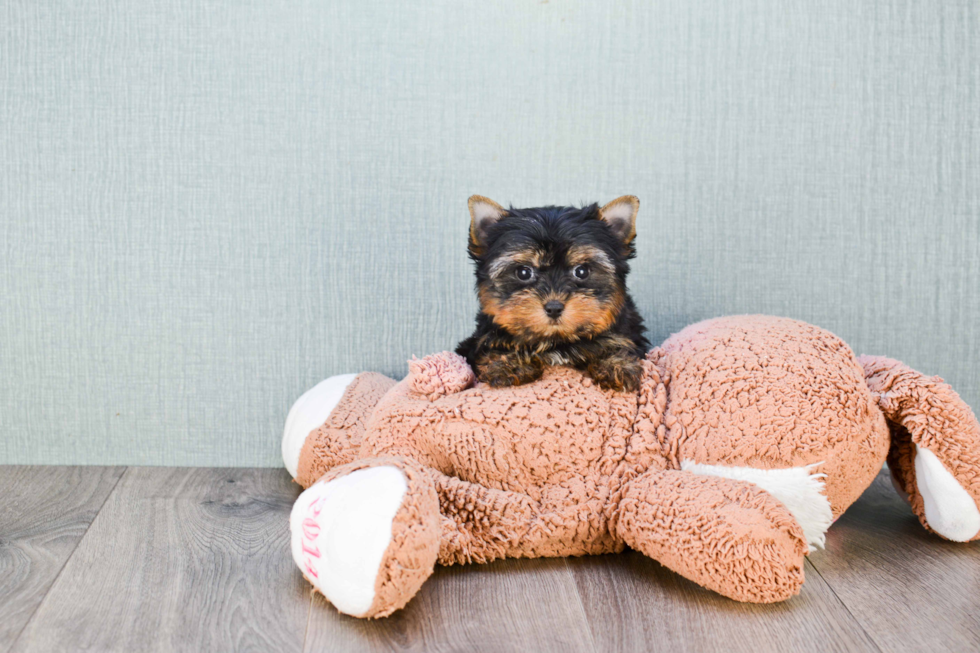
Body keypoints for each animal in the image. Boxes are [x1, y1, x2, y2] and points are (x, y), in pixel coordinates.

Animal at [458, 195, 652, 392]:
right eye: (523, 272)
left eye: (582, 271)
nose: (554, 308)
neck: (556, 341)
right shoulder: (479, 341)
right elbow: (494, 348)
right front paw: (508, 365)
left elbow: (617, 344)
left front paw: (617, 366)